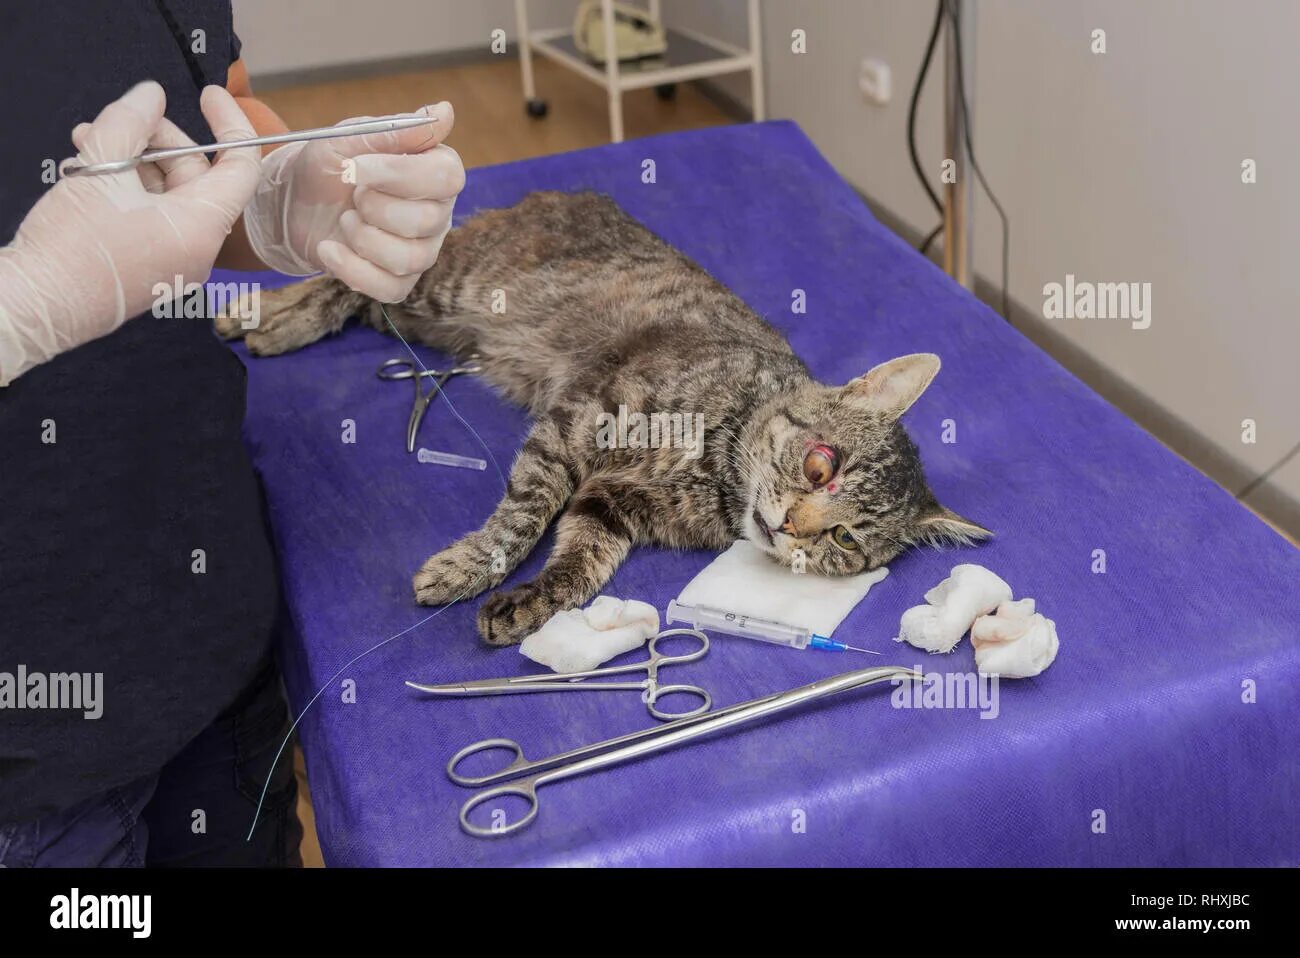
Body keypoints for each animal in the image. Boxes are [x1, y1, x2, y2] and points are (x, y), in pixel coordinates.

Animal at [220, 189, 993, 642]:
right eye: (819, 465)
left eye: (846, 541)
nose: (790, 528)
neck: (718, 477)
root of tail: (564, 190)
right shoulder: (574, 424)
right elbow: (522, 518)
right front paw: (471, 566)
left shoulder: (612, 505)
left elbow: (581, 561)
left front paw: (531, 603)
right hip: (441, 287)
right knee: (342, 272)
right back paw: (255, 314)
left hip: (425, 320)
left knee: (358, 296)